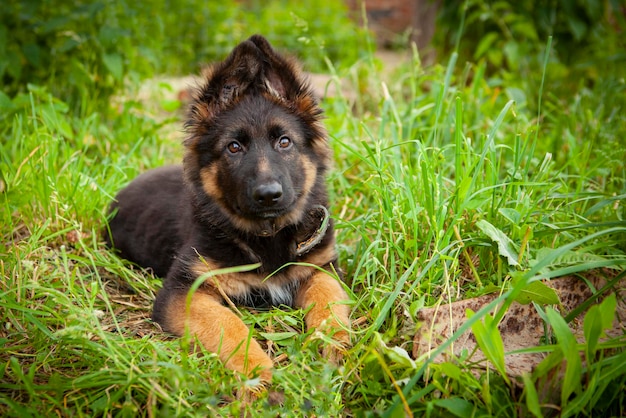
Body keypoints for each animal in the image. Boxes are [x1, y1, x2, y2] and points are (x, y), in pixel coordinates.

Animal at [108, 35, 352, 382]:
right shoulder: (184, 291)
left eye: (285, 142)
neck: (266, 239)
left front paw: (332, 342)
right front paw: (256, 371)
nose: (268, 195)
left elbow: (327, 299)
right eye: (233, 147)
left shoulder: (322, 268)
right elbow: (228, 324)